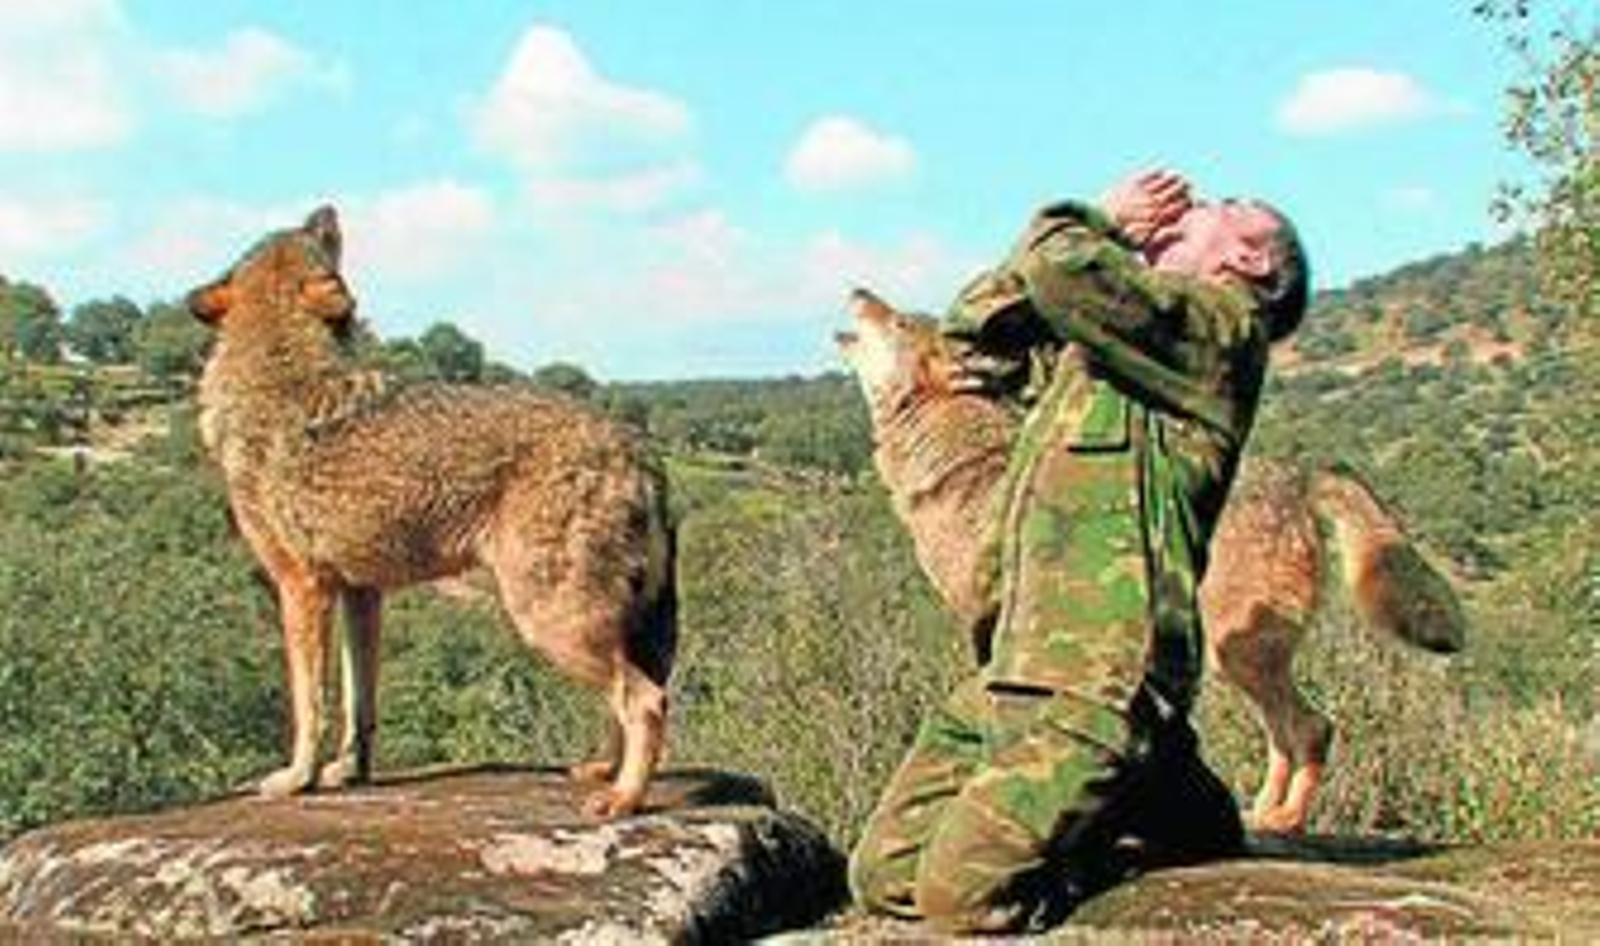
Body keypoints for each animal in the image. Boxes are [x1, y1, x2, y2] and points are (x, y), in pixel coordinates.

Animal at [190, 207, 676, 817]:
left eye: (316, 234)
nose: (327, 207)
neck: (276, 377)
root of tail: (638, 448)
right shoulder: (360, 594)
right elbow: (359, 705)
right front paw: (348, 773)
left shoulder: (301, 588)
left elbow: (310, 703)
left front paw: (297, 778)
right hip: (589, 625)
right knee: (630, 695)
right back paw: (603, 772)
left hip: (550, 622)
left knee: (647, 700)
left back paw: (624, 799)